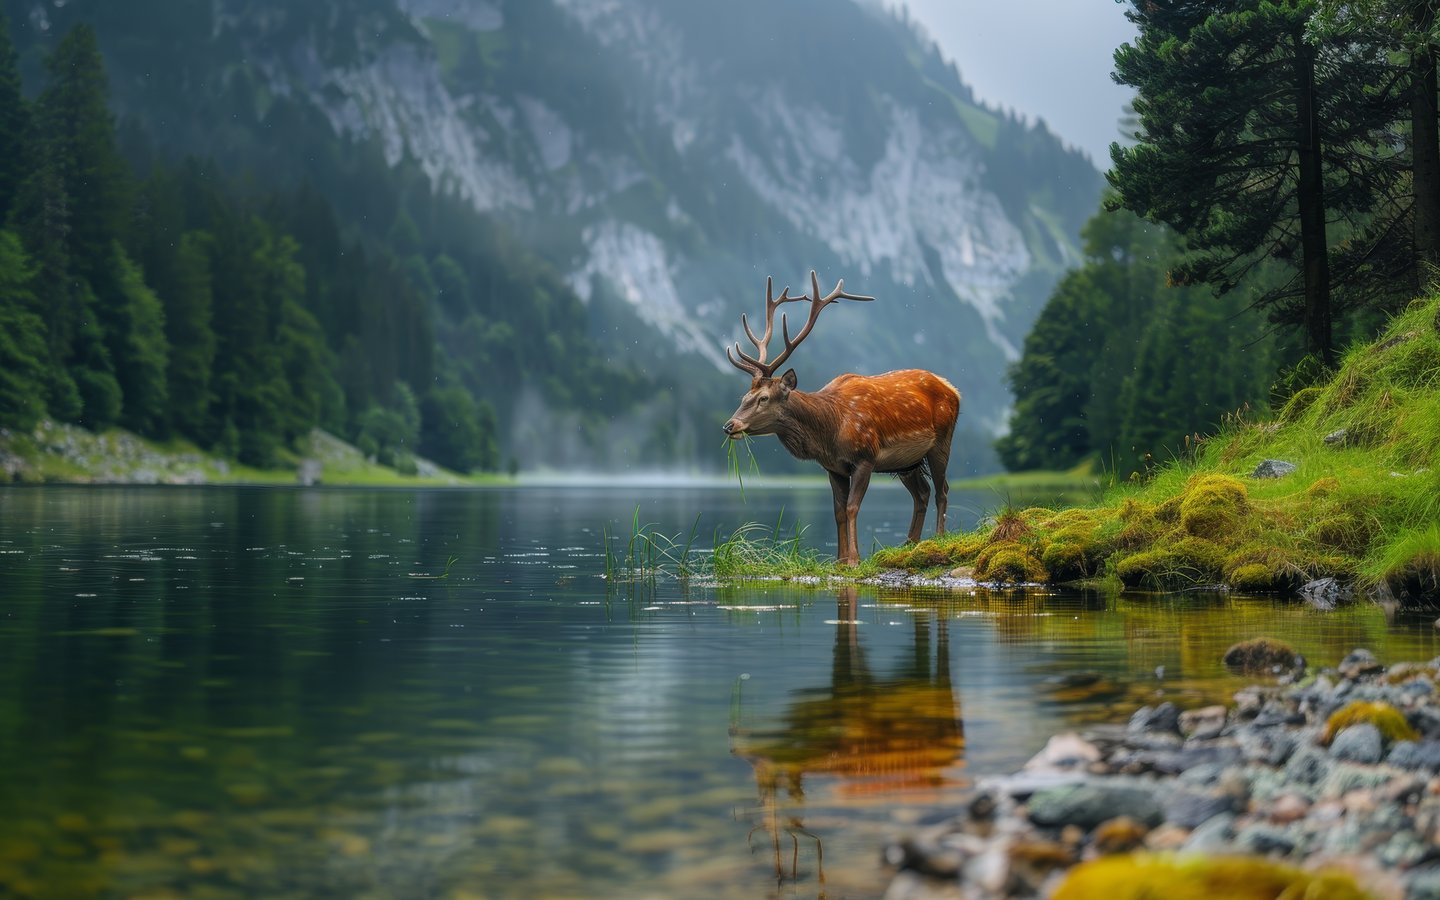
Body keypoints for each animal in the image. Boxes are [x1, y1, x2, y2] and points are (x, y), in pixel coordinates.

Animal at [722, 271, 961, 567]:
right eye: (744, 396)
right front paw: (839, 559)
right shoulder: (833, 468)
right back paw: (909, 544)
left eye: (763, 398)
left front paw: (854, 559)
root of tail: (953, 389)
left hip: (942, 441)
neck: (830, 433)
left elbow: (852, 507)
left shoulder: (865, 457)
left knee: (942, 489)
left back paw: (938, 538)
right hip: (908, 462)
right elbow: (837, 511)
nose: (729, 425)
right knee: (923, 492)